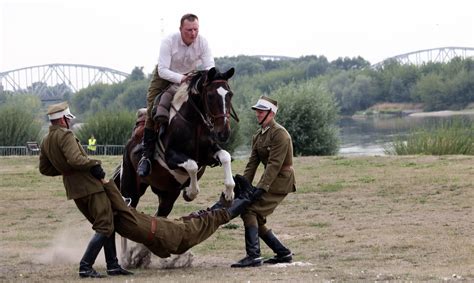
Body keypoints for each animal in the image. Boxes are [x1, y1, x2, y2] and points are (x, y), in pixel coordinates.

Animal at [111, 67, 237, 220]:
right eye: (210, 95)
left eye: (230, 94)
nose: (224, 133)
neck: (195, 124)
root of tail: (129, 145)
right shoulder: (171, 157)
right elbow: (192, 165)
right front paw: (190, 193)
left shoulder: (208, 153)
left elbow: (225, 157)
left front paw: (229, 193)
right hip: (131, 190)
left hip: (167, 195)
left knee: (160, 215)